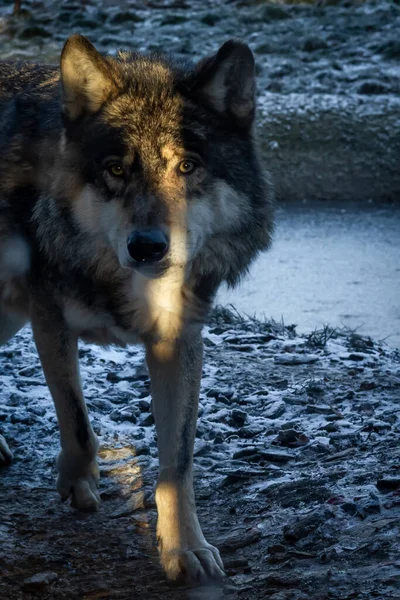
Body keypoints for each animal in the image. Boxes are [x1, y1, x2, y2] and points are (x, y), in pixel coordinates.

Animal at [0, 34, 274, 584]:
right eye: (116, 170)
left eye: (187, 166)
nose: (147, 247)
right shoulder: (48, 318)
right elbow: (77, 420)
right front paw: (79, 481)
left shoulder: (179, 340)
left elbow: (177, 463)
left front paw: (185, 549)